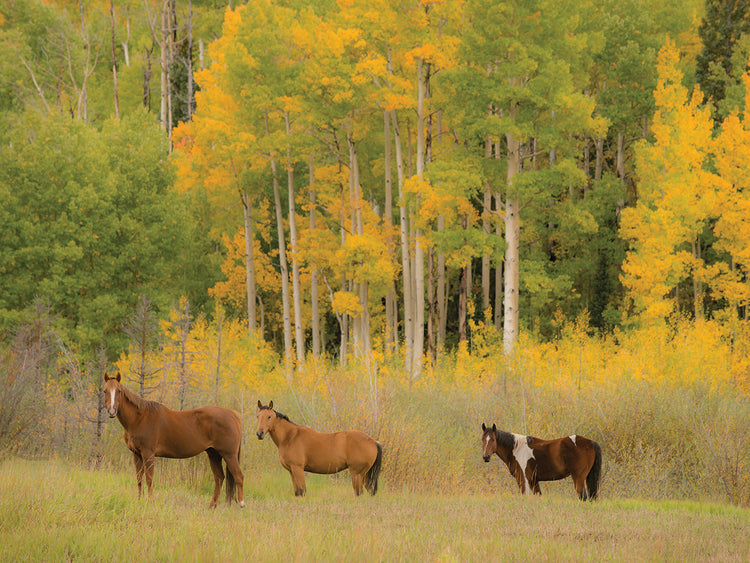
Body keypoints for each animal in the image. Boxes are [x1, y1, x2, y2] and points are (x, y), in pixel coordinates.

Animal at [103, 372, 245, 508]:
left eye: (119, 391)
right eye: (105, 391)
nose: (112, 411)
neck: (140, 418)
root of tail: (233, 415)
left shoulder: (148, 454)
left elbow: (149, 478)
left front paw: (151, 502)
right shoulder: (136, 454)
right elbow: (139, 479)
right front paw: (139, 501)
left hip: (229, 455)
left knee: (238, 476)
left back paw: (241, 504)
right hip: (214, 454)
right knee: (219, 478)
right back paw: (212, 506)